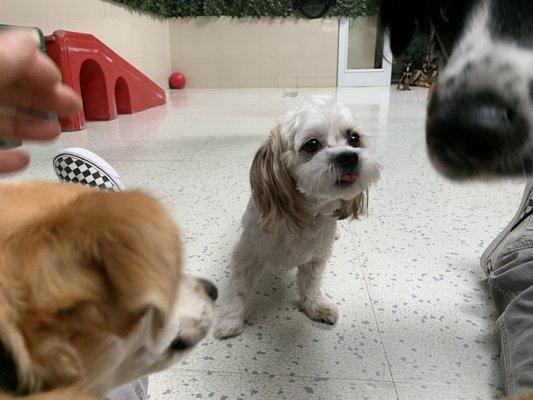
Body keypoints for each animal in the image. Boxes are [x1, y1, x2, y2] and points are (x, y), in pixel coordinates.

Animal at [214, 95, 380, 340]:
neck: (305, 215)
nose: (349, 156)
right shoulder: (247, 254)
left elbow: (310, 284)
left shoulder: (316, 258)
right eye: (311, 144)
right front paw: (230, 320)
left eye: (354, 138)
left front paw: (315, 306)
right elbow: (239, 288)